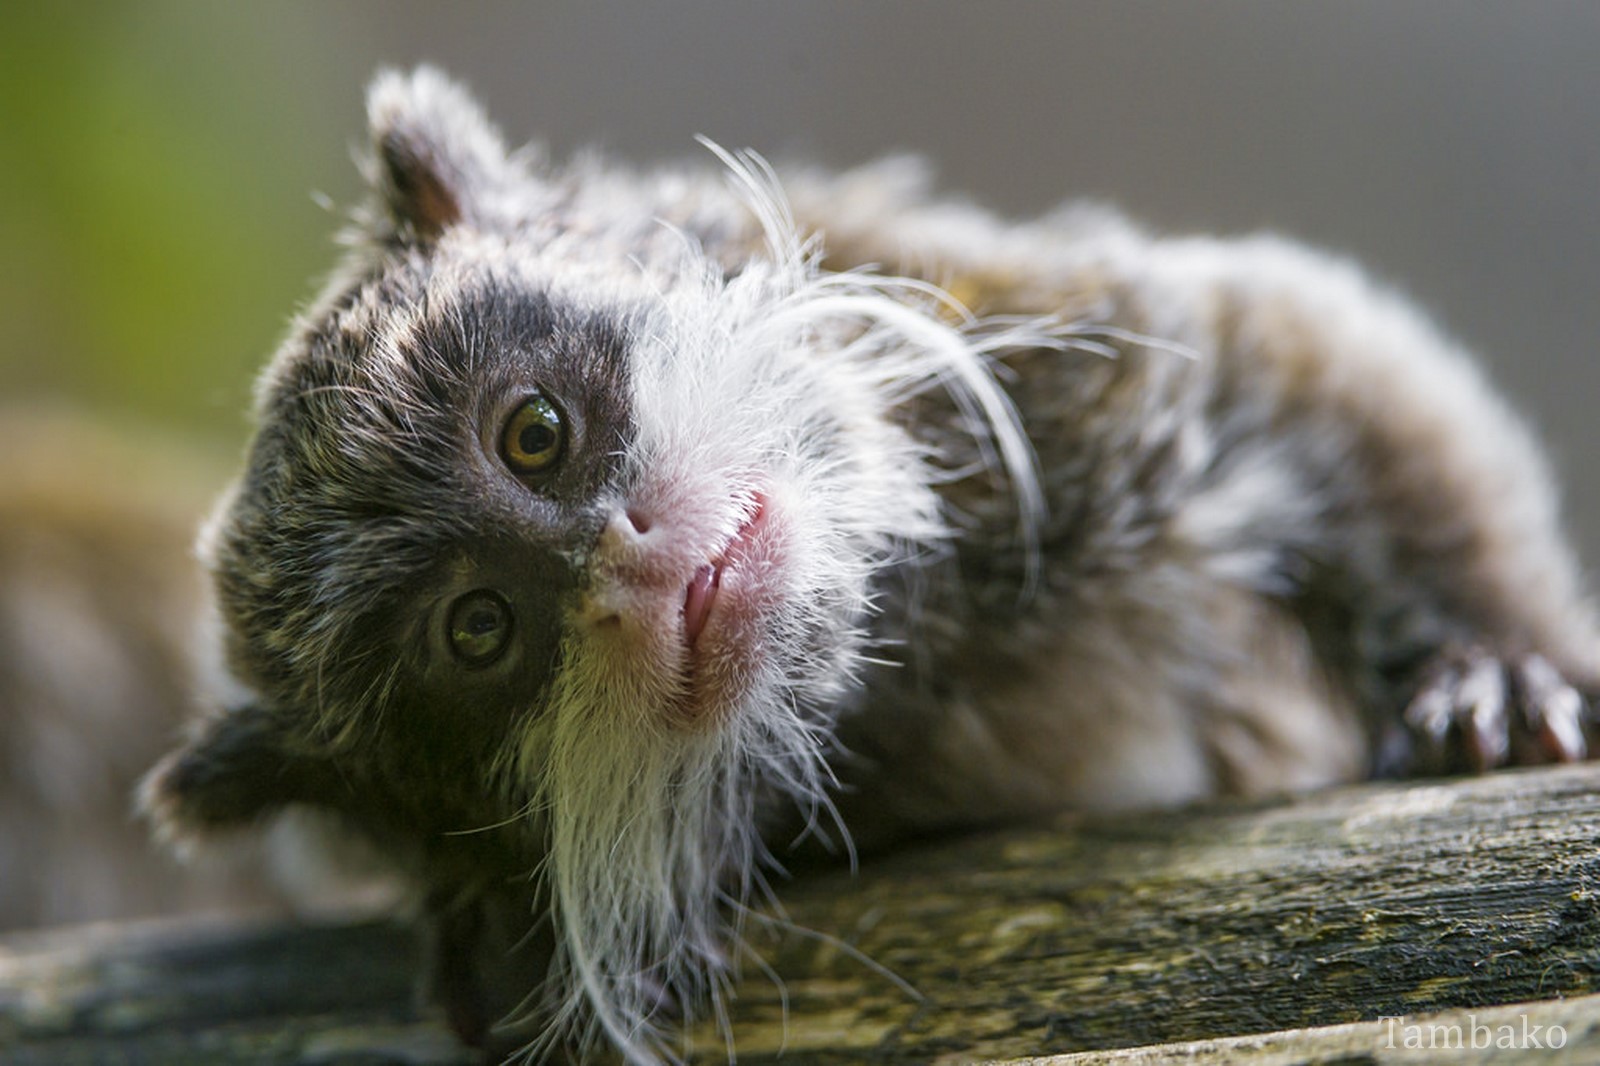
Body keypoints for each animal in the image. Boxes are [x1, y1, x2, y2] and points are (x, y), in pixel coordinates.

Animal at [144, 70, 1593, 1056]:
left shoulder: (1037, 351)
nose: (630, 560)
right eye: (480, 629)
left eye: (534, 432)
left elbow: (1299, 362)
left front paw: (1499, 665)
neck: (904, 644)